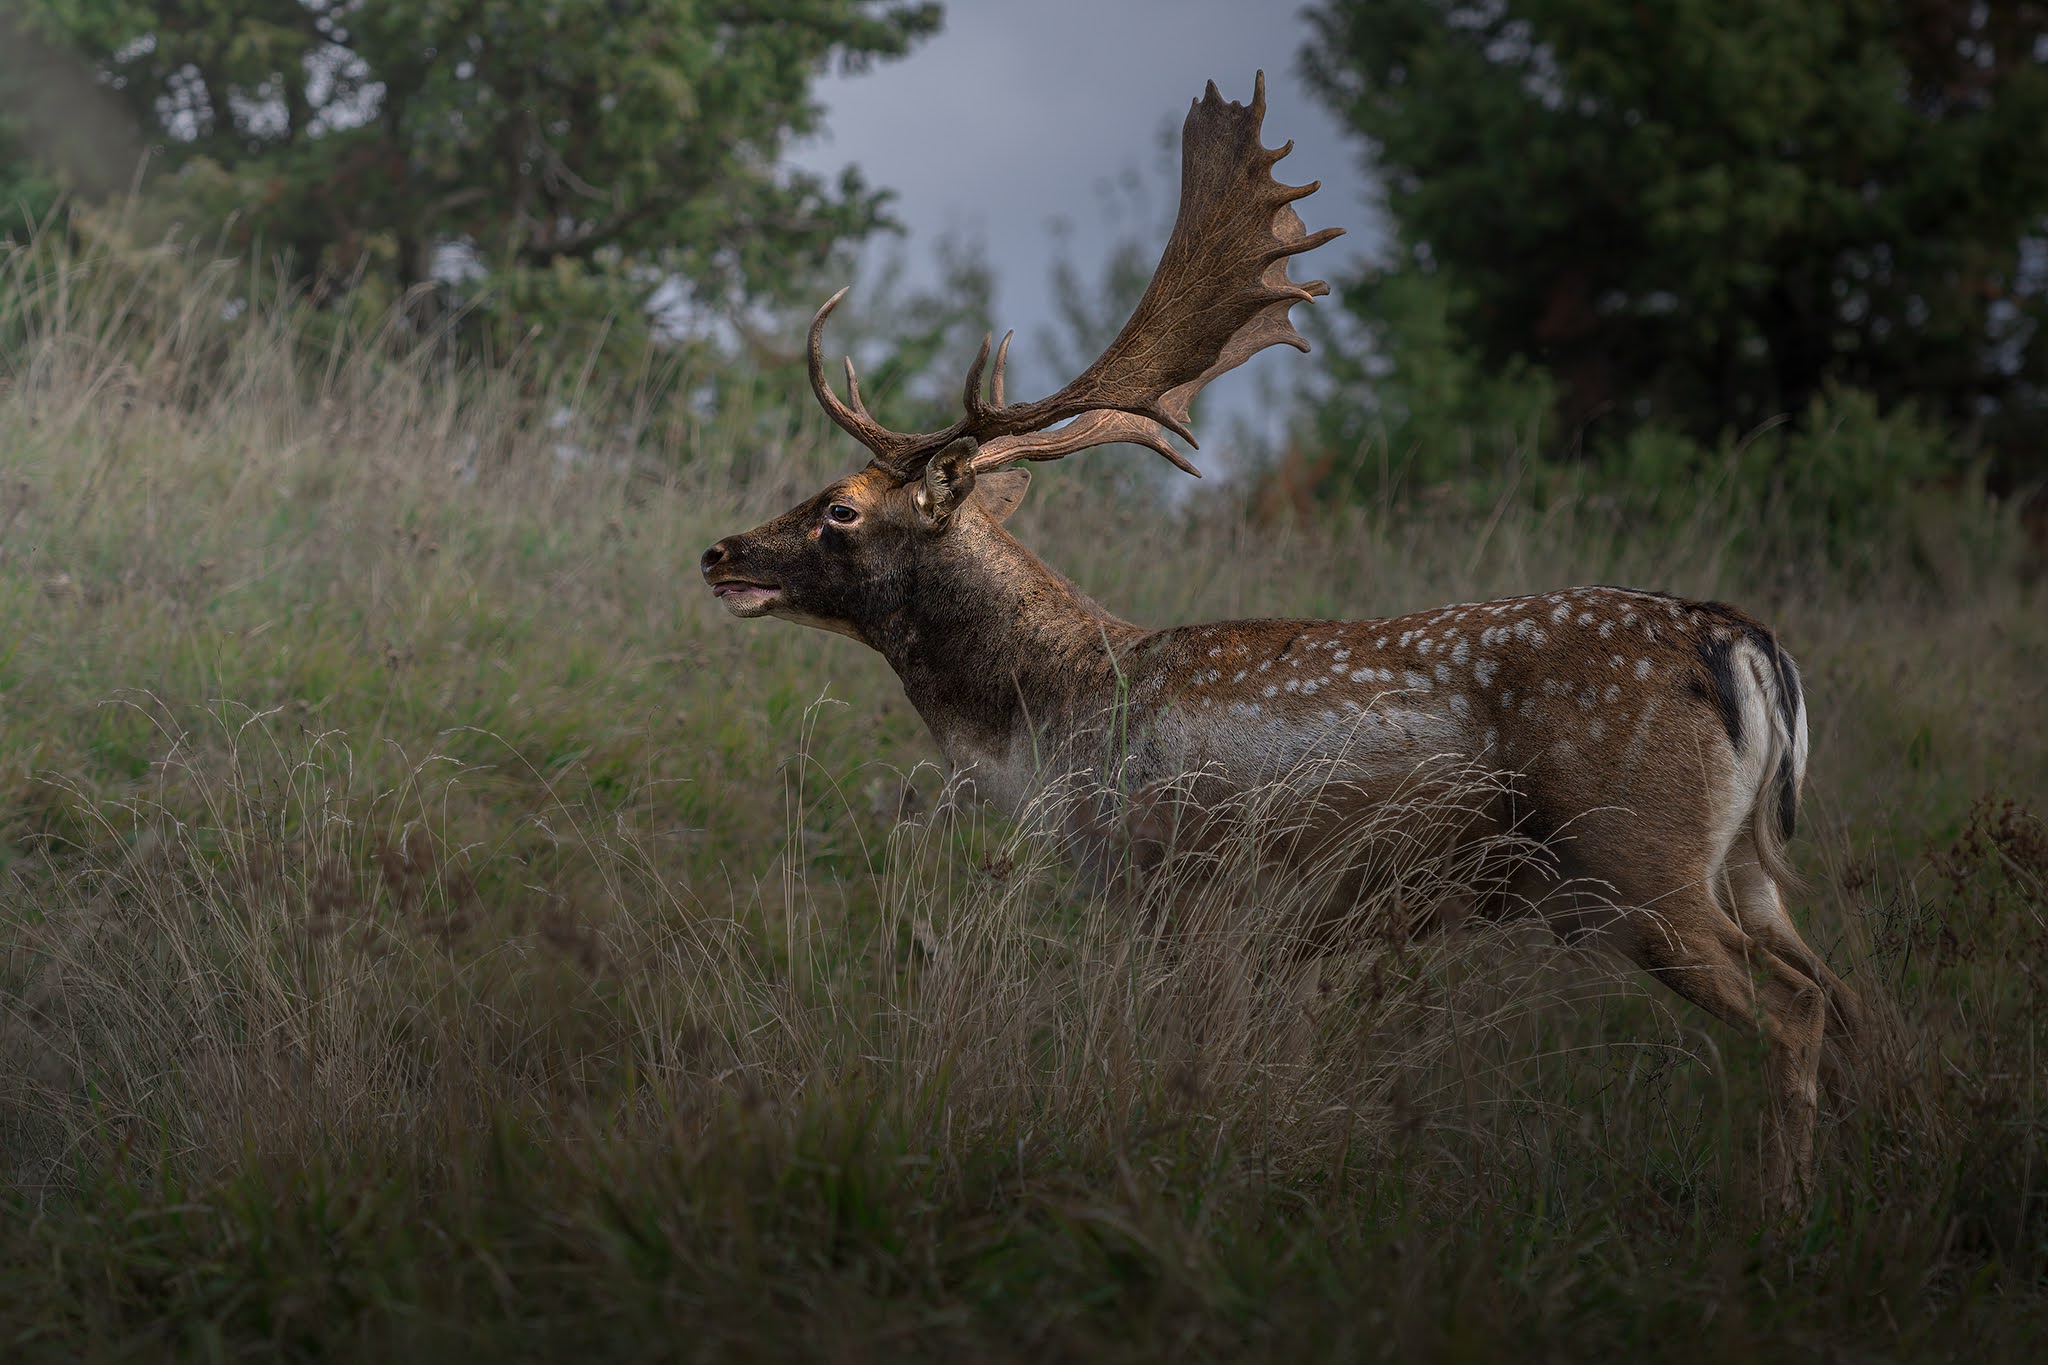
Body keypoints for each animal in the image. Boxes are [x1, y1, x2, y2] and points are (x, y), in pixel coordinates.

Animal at [699, 75, 1863, 1210]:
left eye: (841, 509)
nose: (719, 551)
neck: (1058, 718)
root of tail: (1738, 639)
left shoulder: (1188, 884)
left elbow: (1196, 1055)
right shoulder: (1287, 929)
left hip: (1638, 856)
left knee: (1794, 1010)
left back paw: (1779, 1211)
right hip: (1743, 861)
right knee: (1839, 994)